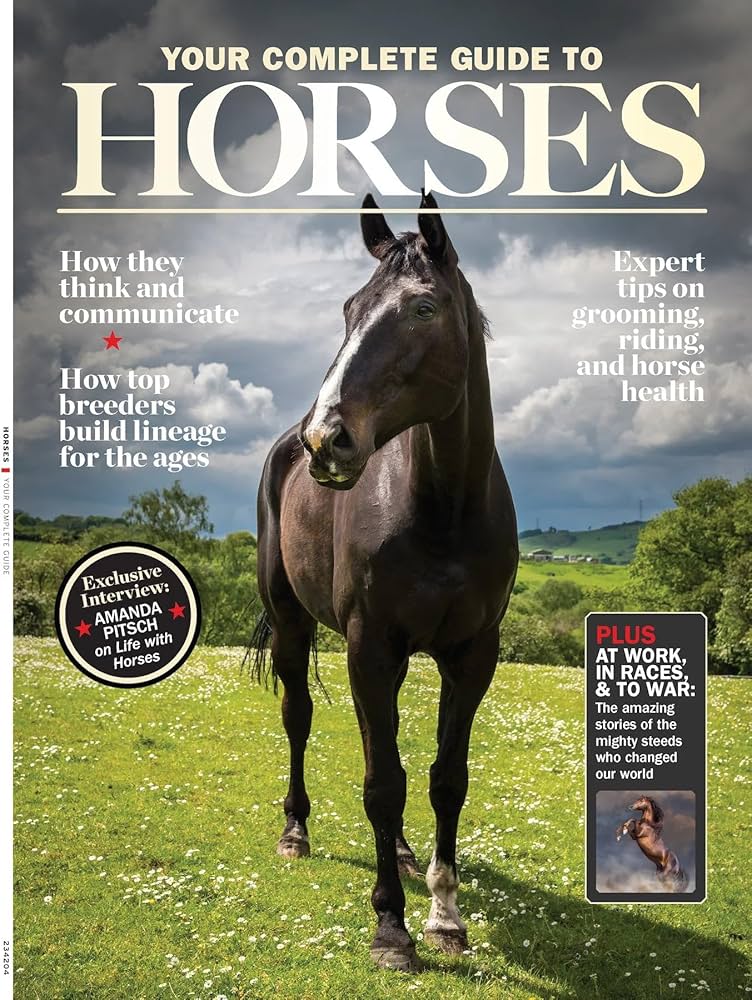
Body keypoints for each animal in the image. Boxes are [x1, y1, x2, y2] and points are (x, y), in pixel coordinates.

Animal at [254, 191, 519, 971]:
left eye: (423, 308)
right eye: (349, 308)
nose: (326, 439)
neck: (444, 509)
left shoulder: (472, 656)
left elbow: (442, 781)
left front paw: (445, 916)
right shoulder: (368, 647)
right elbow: (380, 783)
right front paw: (391, 928)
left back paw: (400, 853)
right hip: (293, 626)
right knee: (300, 719)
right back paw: (296, 832)